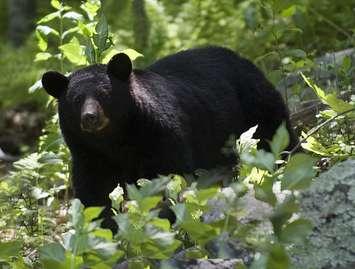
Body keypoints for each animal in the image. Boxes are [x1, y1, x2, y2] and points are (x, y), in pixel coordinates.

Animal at [41, 47, 298, 227]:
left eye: (104, 94)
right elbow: (95, 193)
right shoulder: (90, 156)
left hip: (254, 107)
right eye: (76, 100)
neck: (116, 141)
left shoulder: (160, 135)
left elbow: (167, 179)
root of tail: (242, 58)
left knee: (275, 137)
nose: (90, 117)